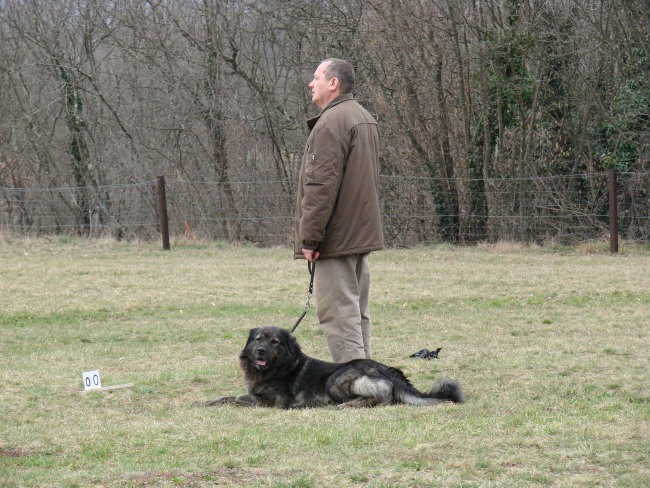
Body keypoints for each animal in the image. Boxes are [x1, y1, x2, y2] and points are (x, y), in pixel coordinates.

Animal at [195, 326, 464, 410]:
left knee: (382, 398)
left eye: (275, 342)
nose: (260, 351)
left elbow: (240, 397)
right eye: (258, 339)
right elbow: (226, 396)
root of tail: (389, 369)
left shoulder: (276, 402)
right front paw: (205, 402)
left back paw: (345, 406)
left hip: (336, 380)